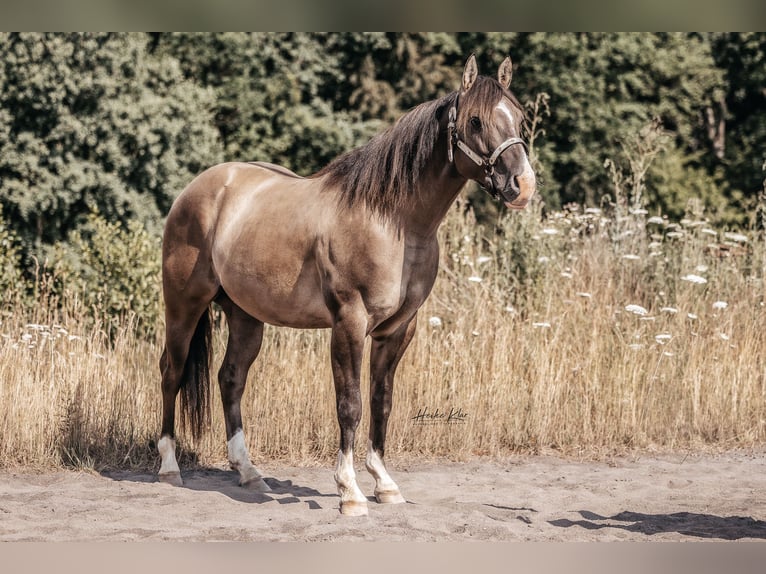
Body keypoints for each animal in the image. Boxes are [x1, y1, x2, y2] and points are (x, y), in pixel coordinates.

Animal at [157, 54, 536, 516]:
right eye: (476, 121)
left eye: (519, 116)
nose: (523, 186)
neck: (393, 221)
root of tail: (199, 188)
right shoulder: (349, 323)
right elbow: (350, 404)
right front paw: (349, 491)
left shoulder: (398, 330)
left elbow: (381, 402)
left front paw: (384, 484)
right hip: (184, 305)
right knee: (171, 372)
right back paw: (169, 467)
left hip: (245, 317)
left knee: (230, 379)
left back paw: (248, 473)